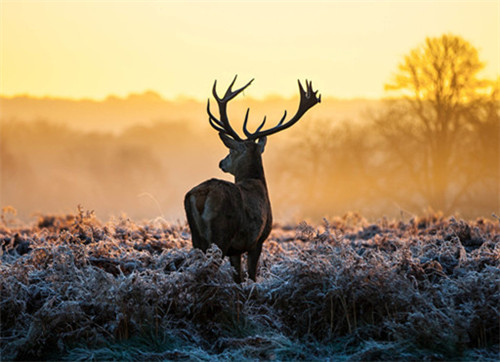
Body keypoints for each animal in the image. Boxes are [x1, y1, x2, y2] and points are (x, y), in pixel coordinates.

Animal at [185, 76, 320, 282]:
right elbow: (252, 276)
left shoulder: (236, 249)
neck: (257, 183)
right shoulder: (257, 240)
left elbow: (239, 278)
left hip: (197, 238)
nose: (221, 162)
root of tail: (201, 195)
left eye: (231, 150)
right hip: (220, 235)